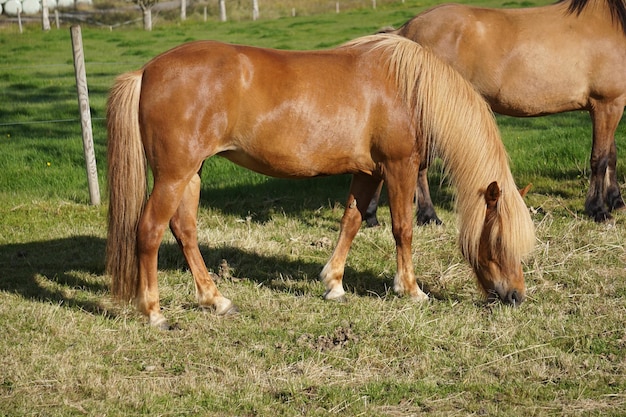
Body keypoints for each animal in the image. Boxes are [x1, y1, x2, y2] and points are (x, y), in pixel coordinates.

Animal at [105, 35, 532, 328]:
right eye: (497, 240)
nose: (515, 296)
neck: (409, 89)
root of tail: (147, 72)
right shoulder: (399, 167)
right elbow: (403, 228)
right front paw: (411, 290)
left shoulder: (368, 172)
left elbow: (352, 222)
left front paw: (334, 284)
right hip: (174, 174)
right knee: (150, 230)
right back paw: (155, 313)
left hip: (191, 173)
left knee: (185, 229)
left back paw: (216, 299)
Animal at [366, 0, 624, 226]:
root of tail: (405, 30)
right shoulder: (607, 104)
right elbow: (599, 158)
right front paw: (598, 210)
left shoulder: (611, 106)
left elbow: (611, 154)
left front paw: (616, 201)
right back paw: (428, 215)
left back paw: (371, 216)